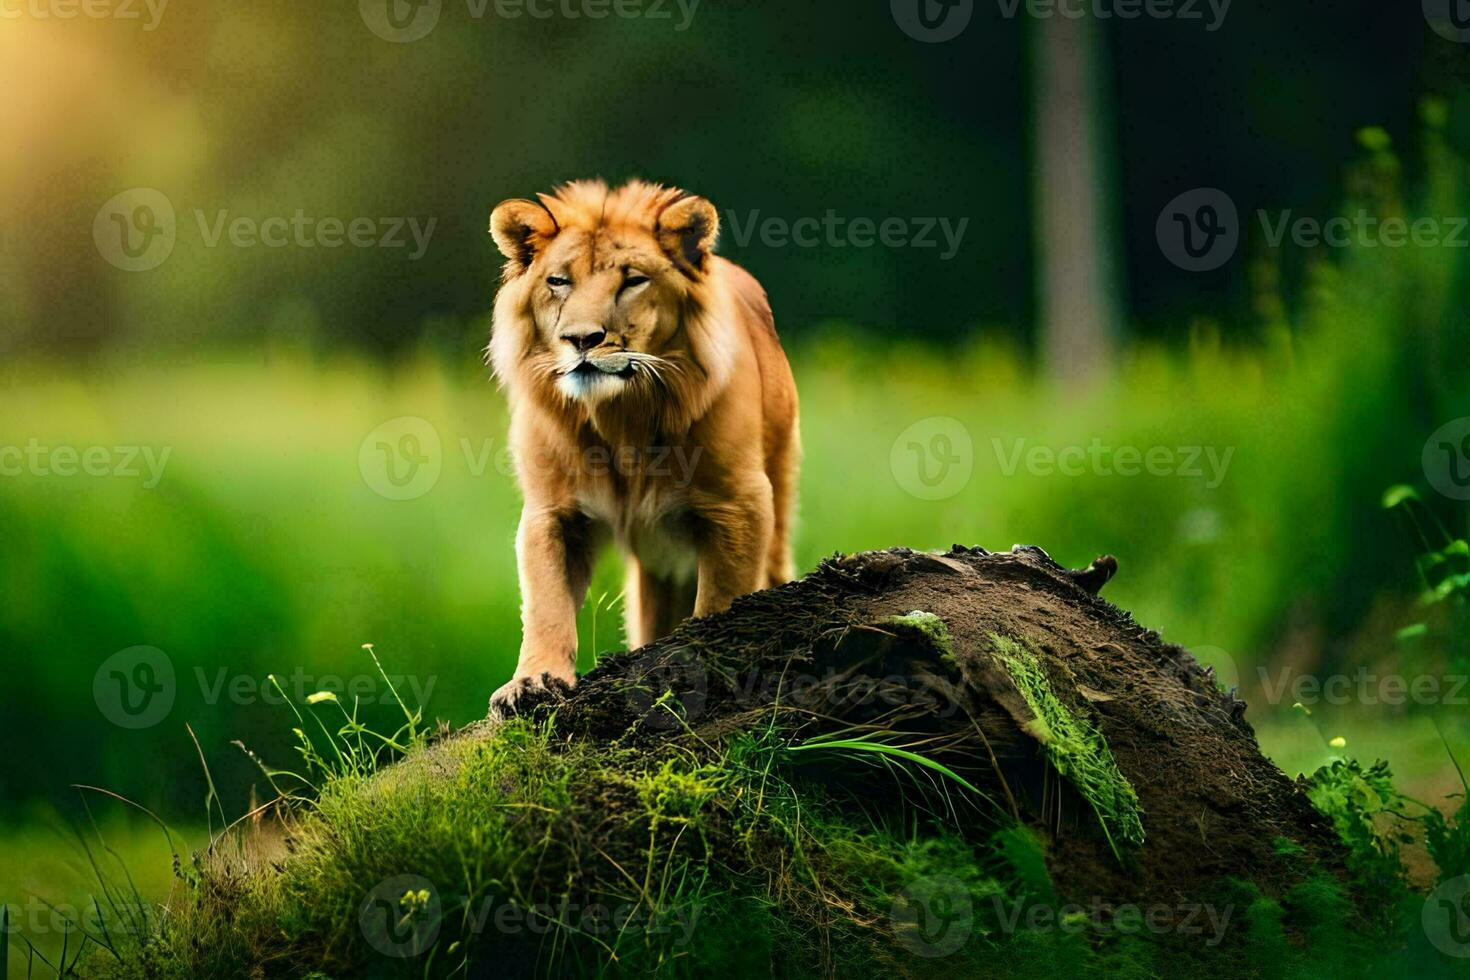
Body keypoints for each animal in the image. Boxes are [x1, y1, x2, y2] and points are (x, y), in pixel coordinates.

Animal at [488, 179, 799, 717]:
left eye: (633, 281)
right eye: (558, 281)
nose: (582, 339)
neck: (620, 420)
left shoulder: (739, 505)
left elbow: (720, 603)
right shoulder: (553, 512)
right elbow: (547, 603)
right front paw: (533, 683)